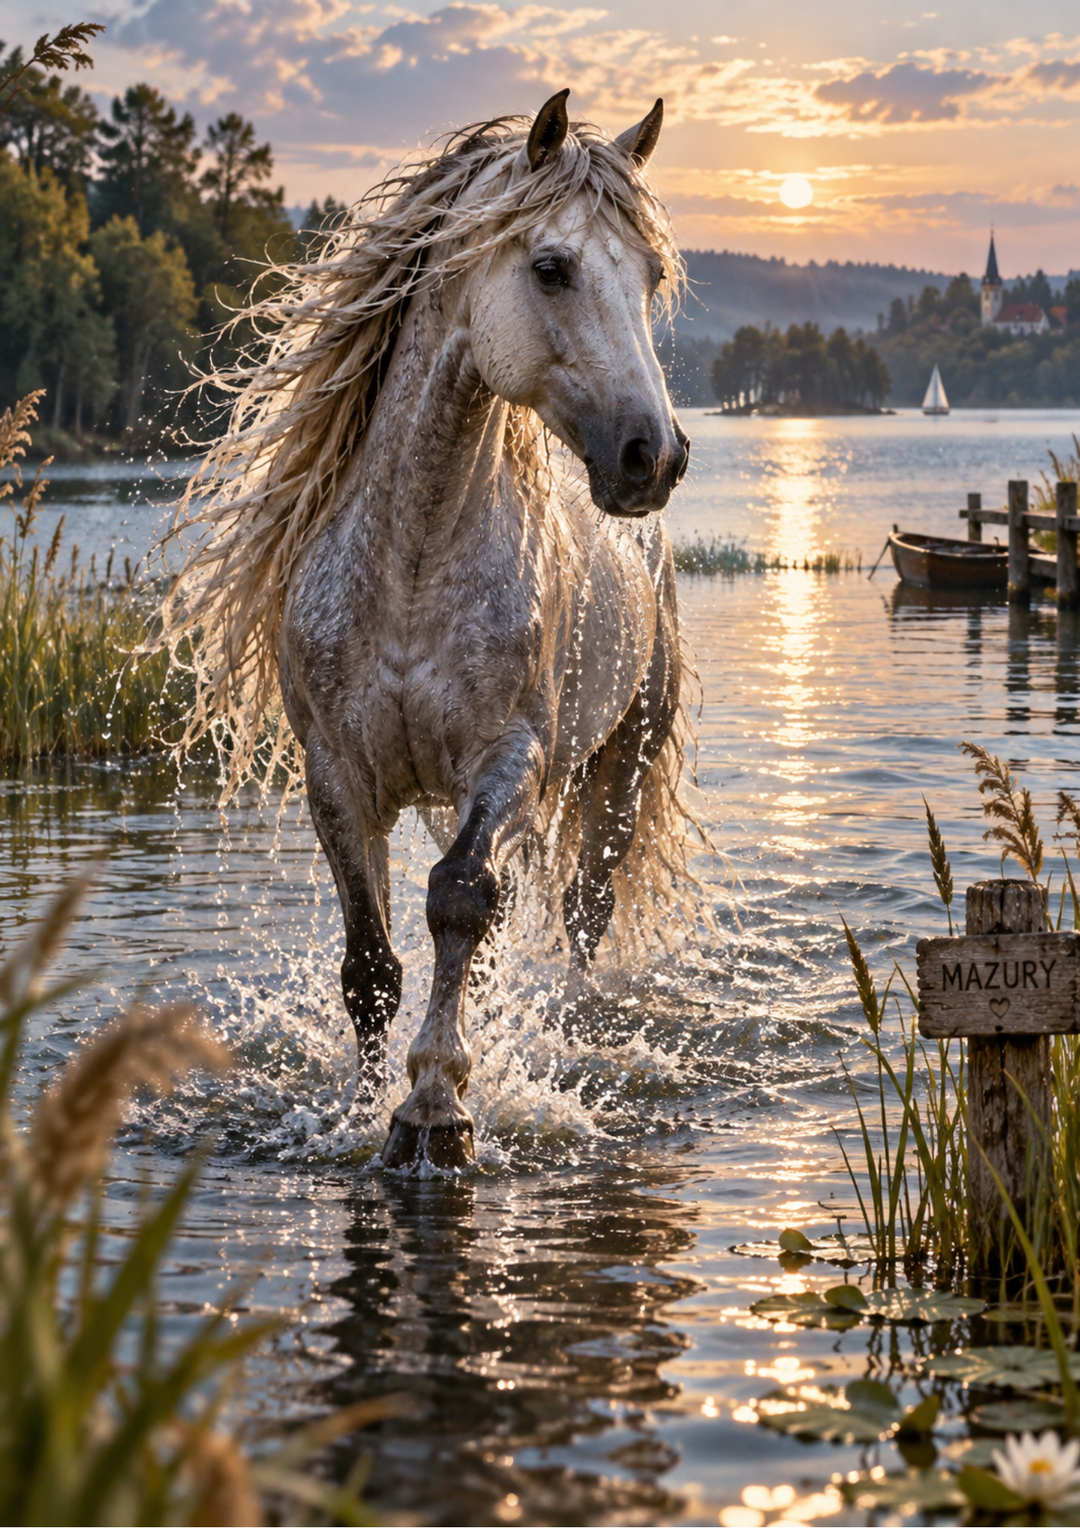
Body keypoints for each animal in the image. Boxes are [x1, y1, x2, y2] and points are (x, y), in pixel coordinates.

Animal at [165, 89, 691, 1171]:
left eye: (651, 275)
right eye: (551, 266)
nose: (652, 457)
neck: (411, 562)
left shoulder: (511, 763)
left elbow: (455, 901)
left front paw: (436, 1108)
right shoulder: (338, 776)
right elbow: (371, 964)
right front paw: (368, 1106)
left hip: (614, 770)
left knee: (580, 916)